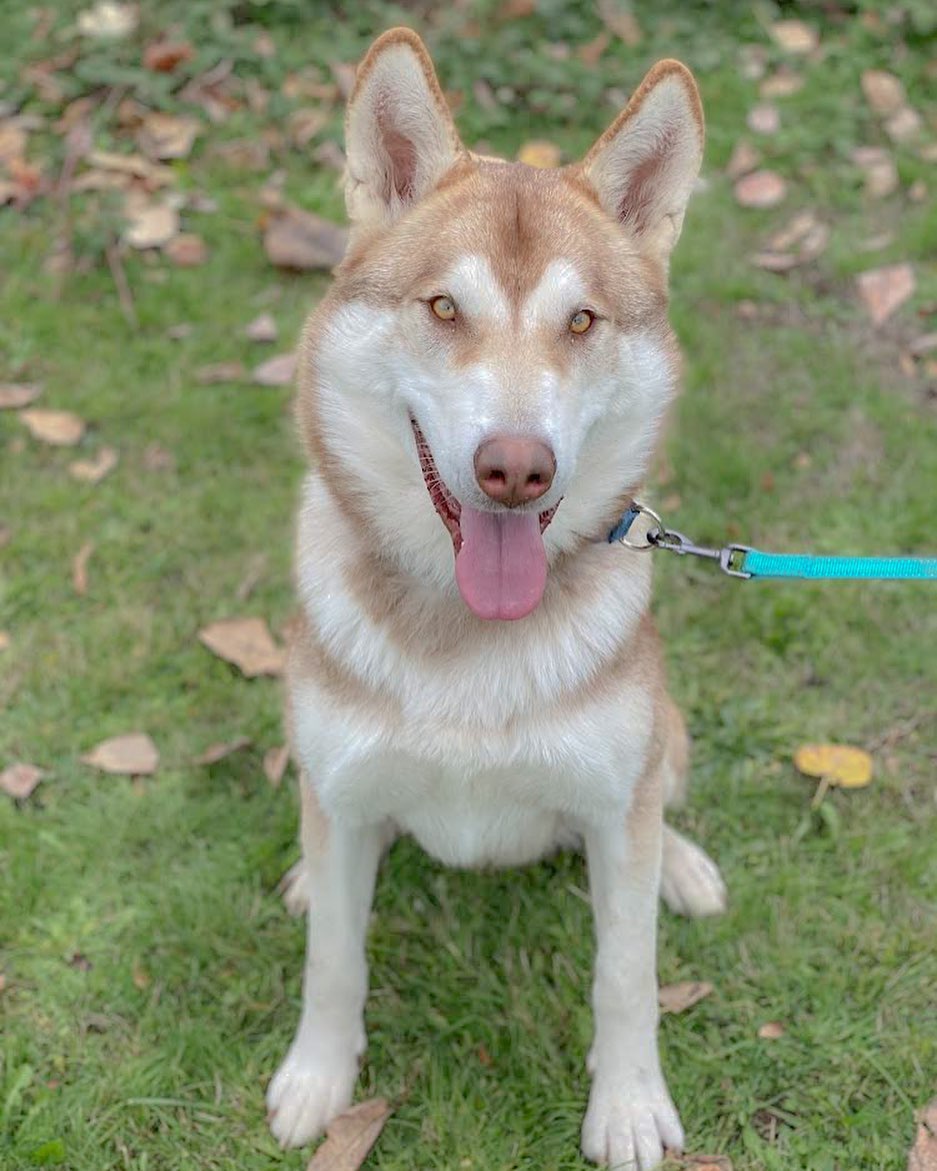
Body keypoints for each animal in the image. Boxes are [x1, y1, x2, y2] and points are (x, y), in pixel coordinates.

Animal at [267, 29, 726, 1171]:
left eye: (581, 320)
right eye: (443, 307)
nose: (515, 468)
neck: (469, 637)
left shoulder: (611, 809)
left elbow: (626, 973)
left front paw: (628, 1106)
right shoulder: (344, 793)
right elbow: (333, 958)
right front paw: (317, 1078)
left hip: (663, 731)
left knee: (665, 792)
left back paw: (684, 866)